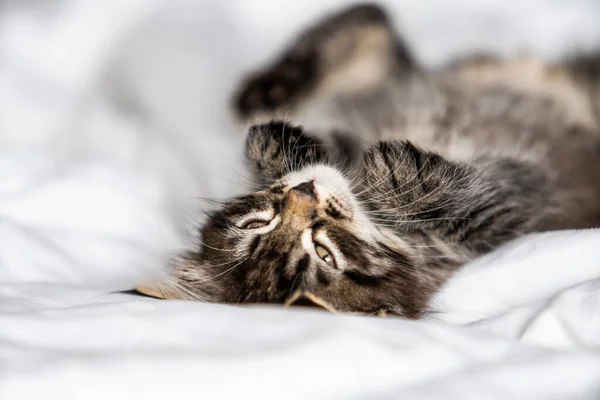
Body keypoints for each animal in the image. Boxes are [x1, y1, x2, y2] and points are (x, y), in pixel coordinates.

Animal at [138, 2, 600, 316]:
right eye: (323, 254)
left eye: (257, 223)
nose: (304, 193)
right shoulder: (505, 211)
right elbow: (470, 194)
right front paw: (396, 171)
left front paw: (281, 144)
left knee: (366, 20)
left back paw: (266, 92)